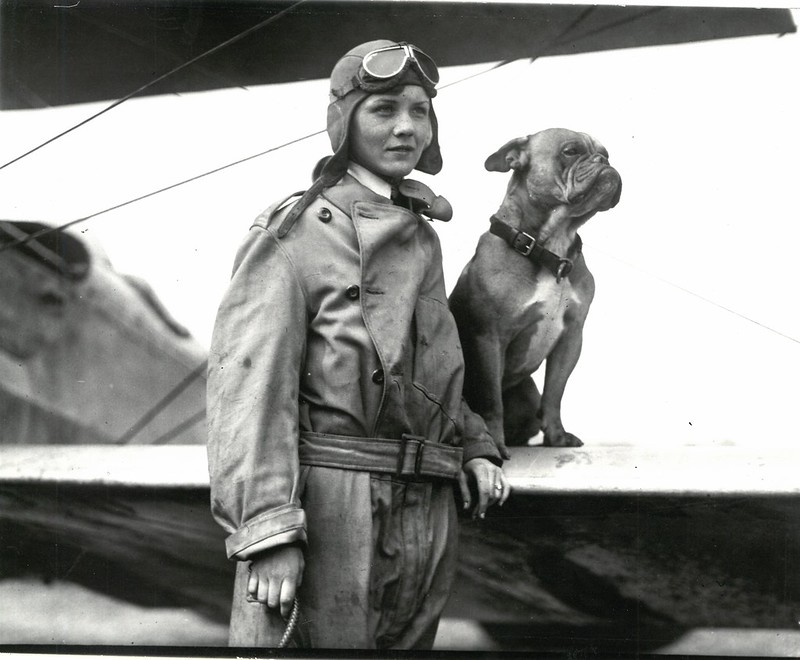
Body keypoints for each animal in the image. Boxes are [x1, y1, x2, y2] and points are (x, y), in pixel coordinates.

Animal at [450, 129, 620, 458]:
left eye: (607, 153)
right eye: (570, 151)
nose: (604, 161)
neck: (550, 247)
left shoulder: (570, 338)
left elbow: (554, 394)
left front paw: (557, 436)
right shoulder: (489, 338)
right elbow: (491, 400)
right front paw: (496, 442)